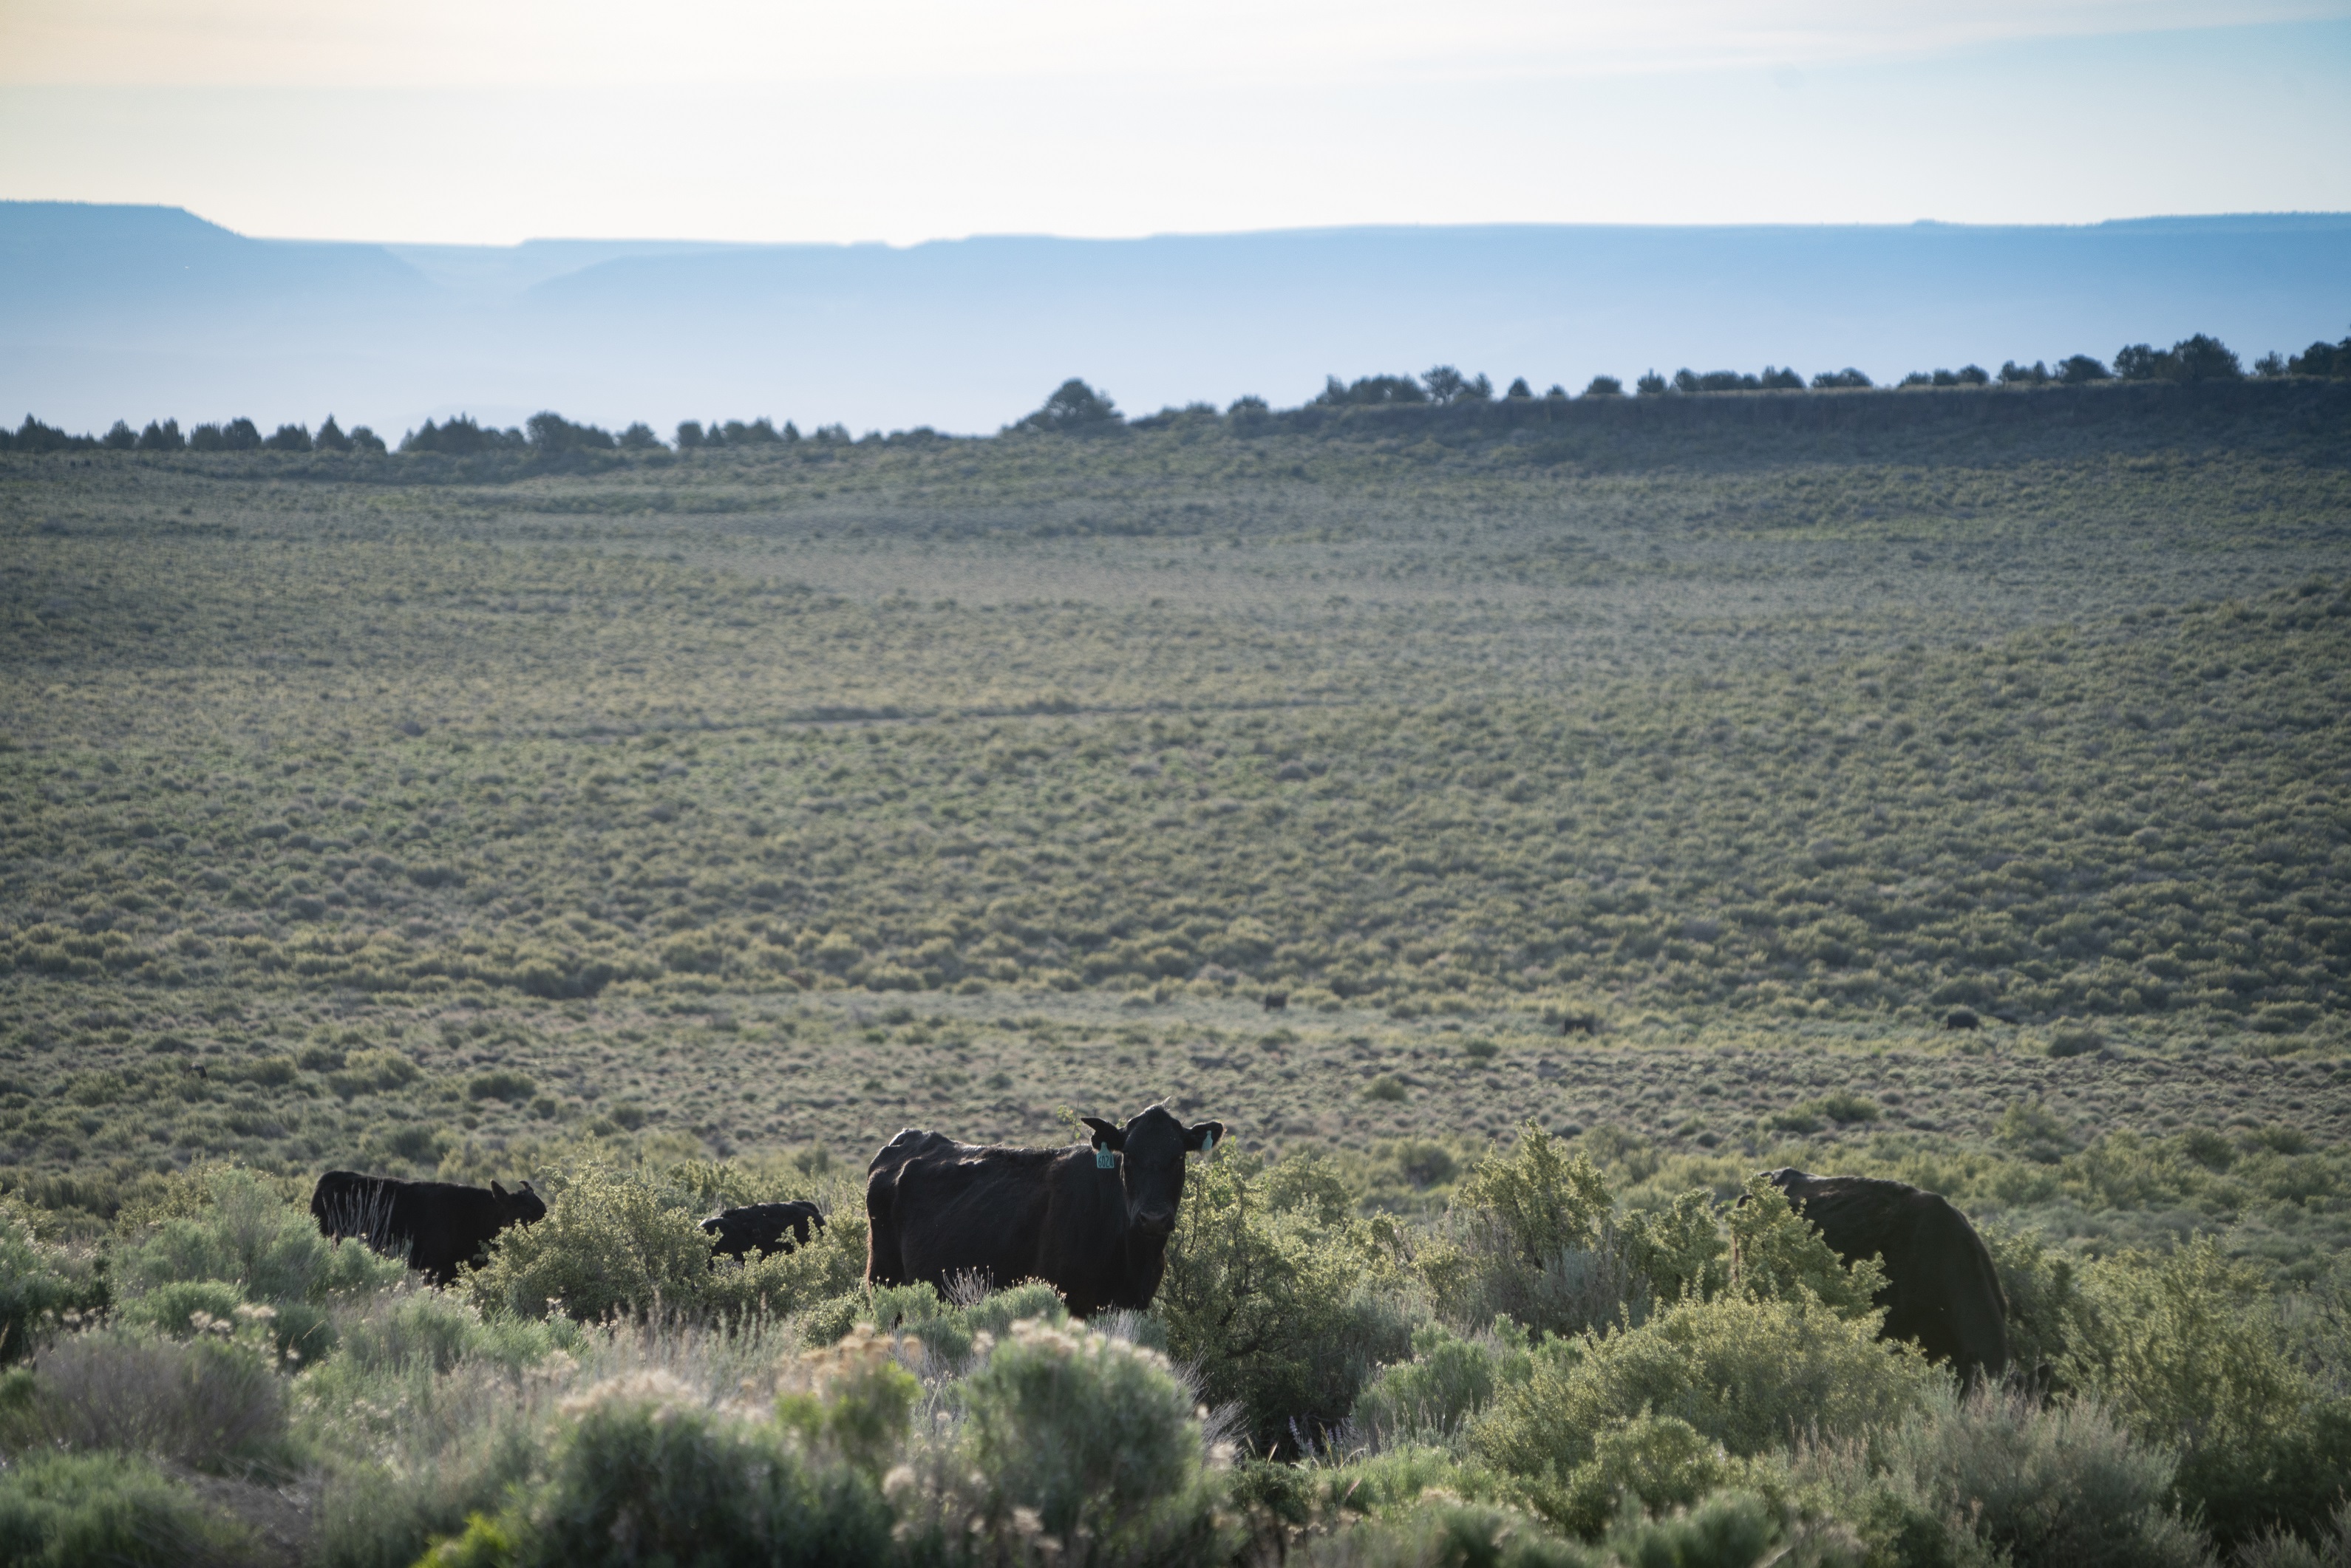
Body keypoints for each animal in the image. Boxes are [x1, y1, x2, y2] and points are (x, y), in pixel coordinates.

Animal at [865, 1105, 1231, 1326]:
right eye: (1128, 1156)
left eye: (1178, 1157)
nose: (1153, 1219)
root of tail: (906, 1139)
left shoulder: (1131, 1306)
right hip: (884, 1286)